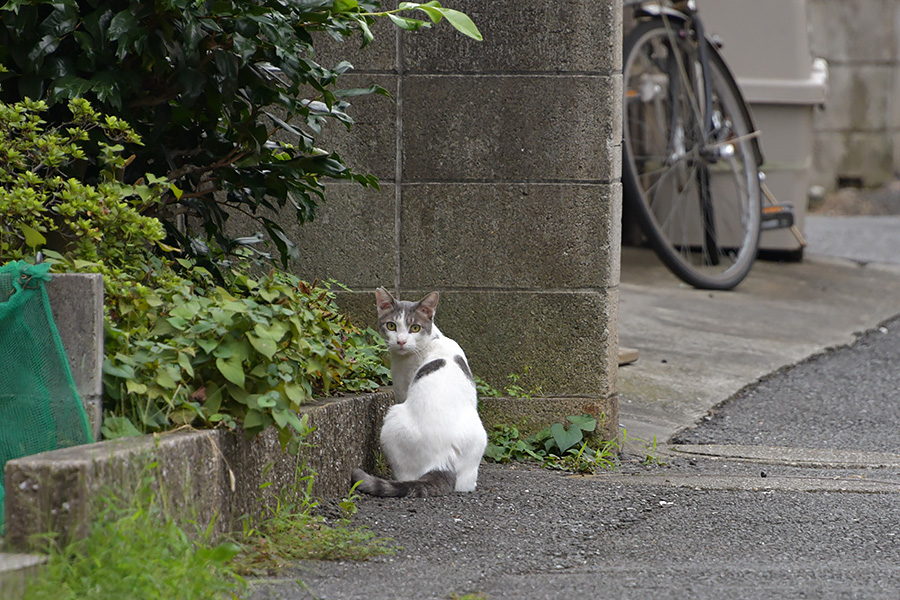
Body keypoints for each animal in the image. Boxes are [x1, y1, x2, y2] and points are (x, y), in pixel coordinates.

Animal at [356, 286, 488, 496]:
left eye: (415, 328)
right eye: (391, 326)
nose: (401, 341)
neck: (432, 339)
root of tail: (442, 460)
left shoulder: (401, 389)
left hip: (392, 420)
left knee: (406, 477)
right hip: (480, 438)